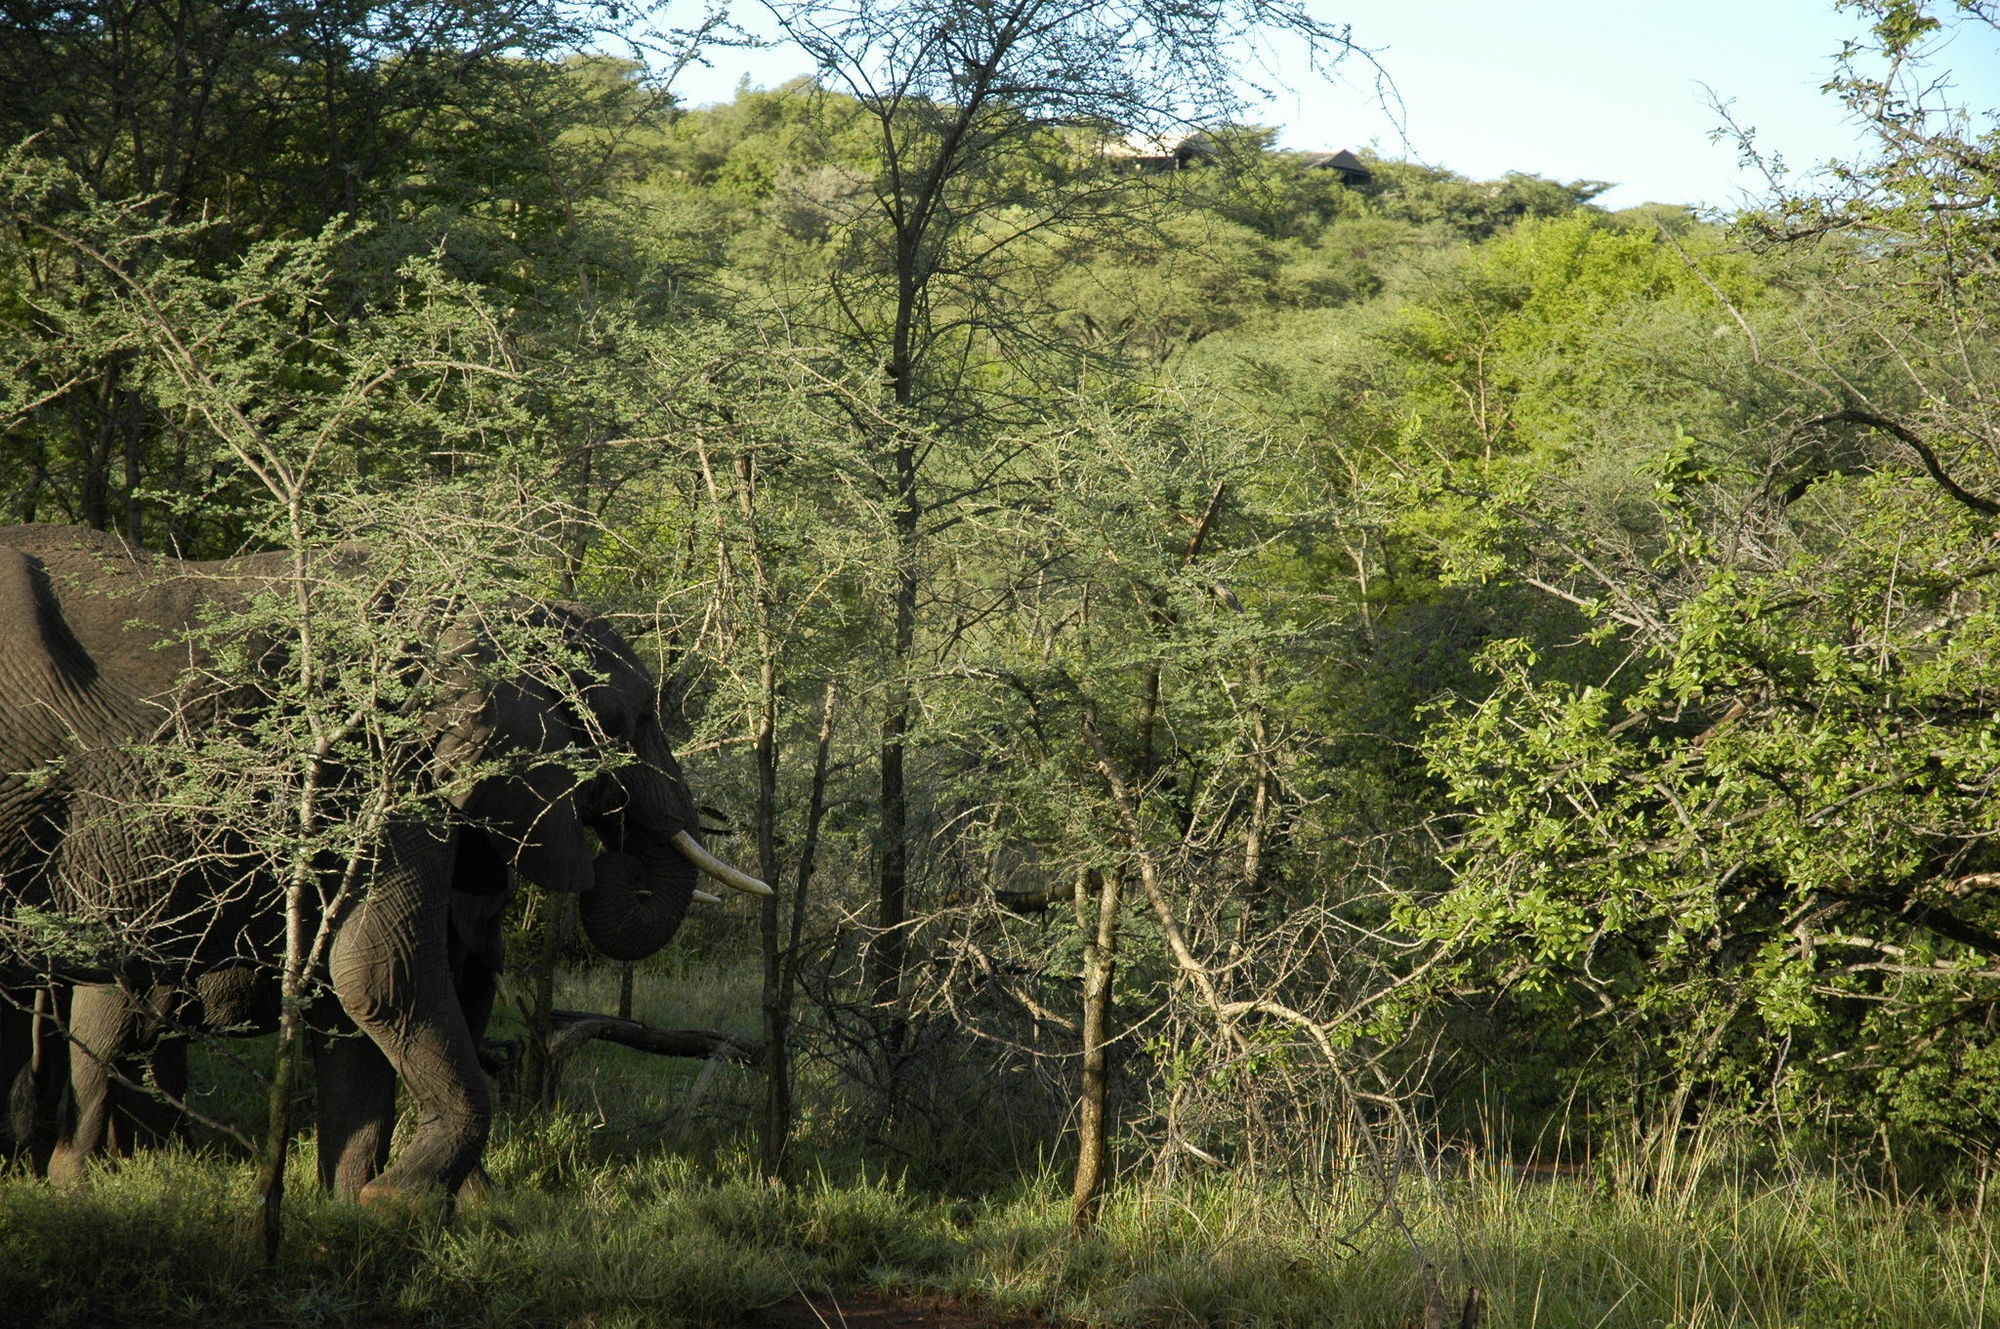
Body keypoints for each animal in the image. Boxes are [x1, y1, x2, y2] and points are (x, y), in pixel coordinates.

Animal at [0, 524, 764, 1200]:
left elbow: (361, 991)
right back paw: (74, 1182)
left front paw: (356, 1206)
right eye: (631, 720)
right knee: (105, 1028)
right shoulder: (384, 765)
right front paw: (401, 1200)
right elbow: (378, 969)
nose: (618, 846)